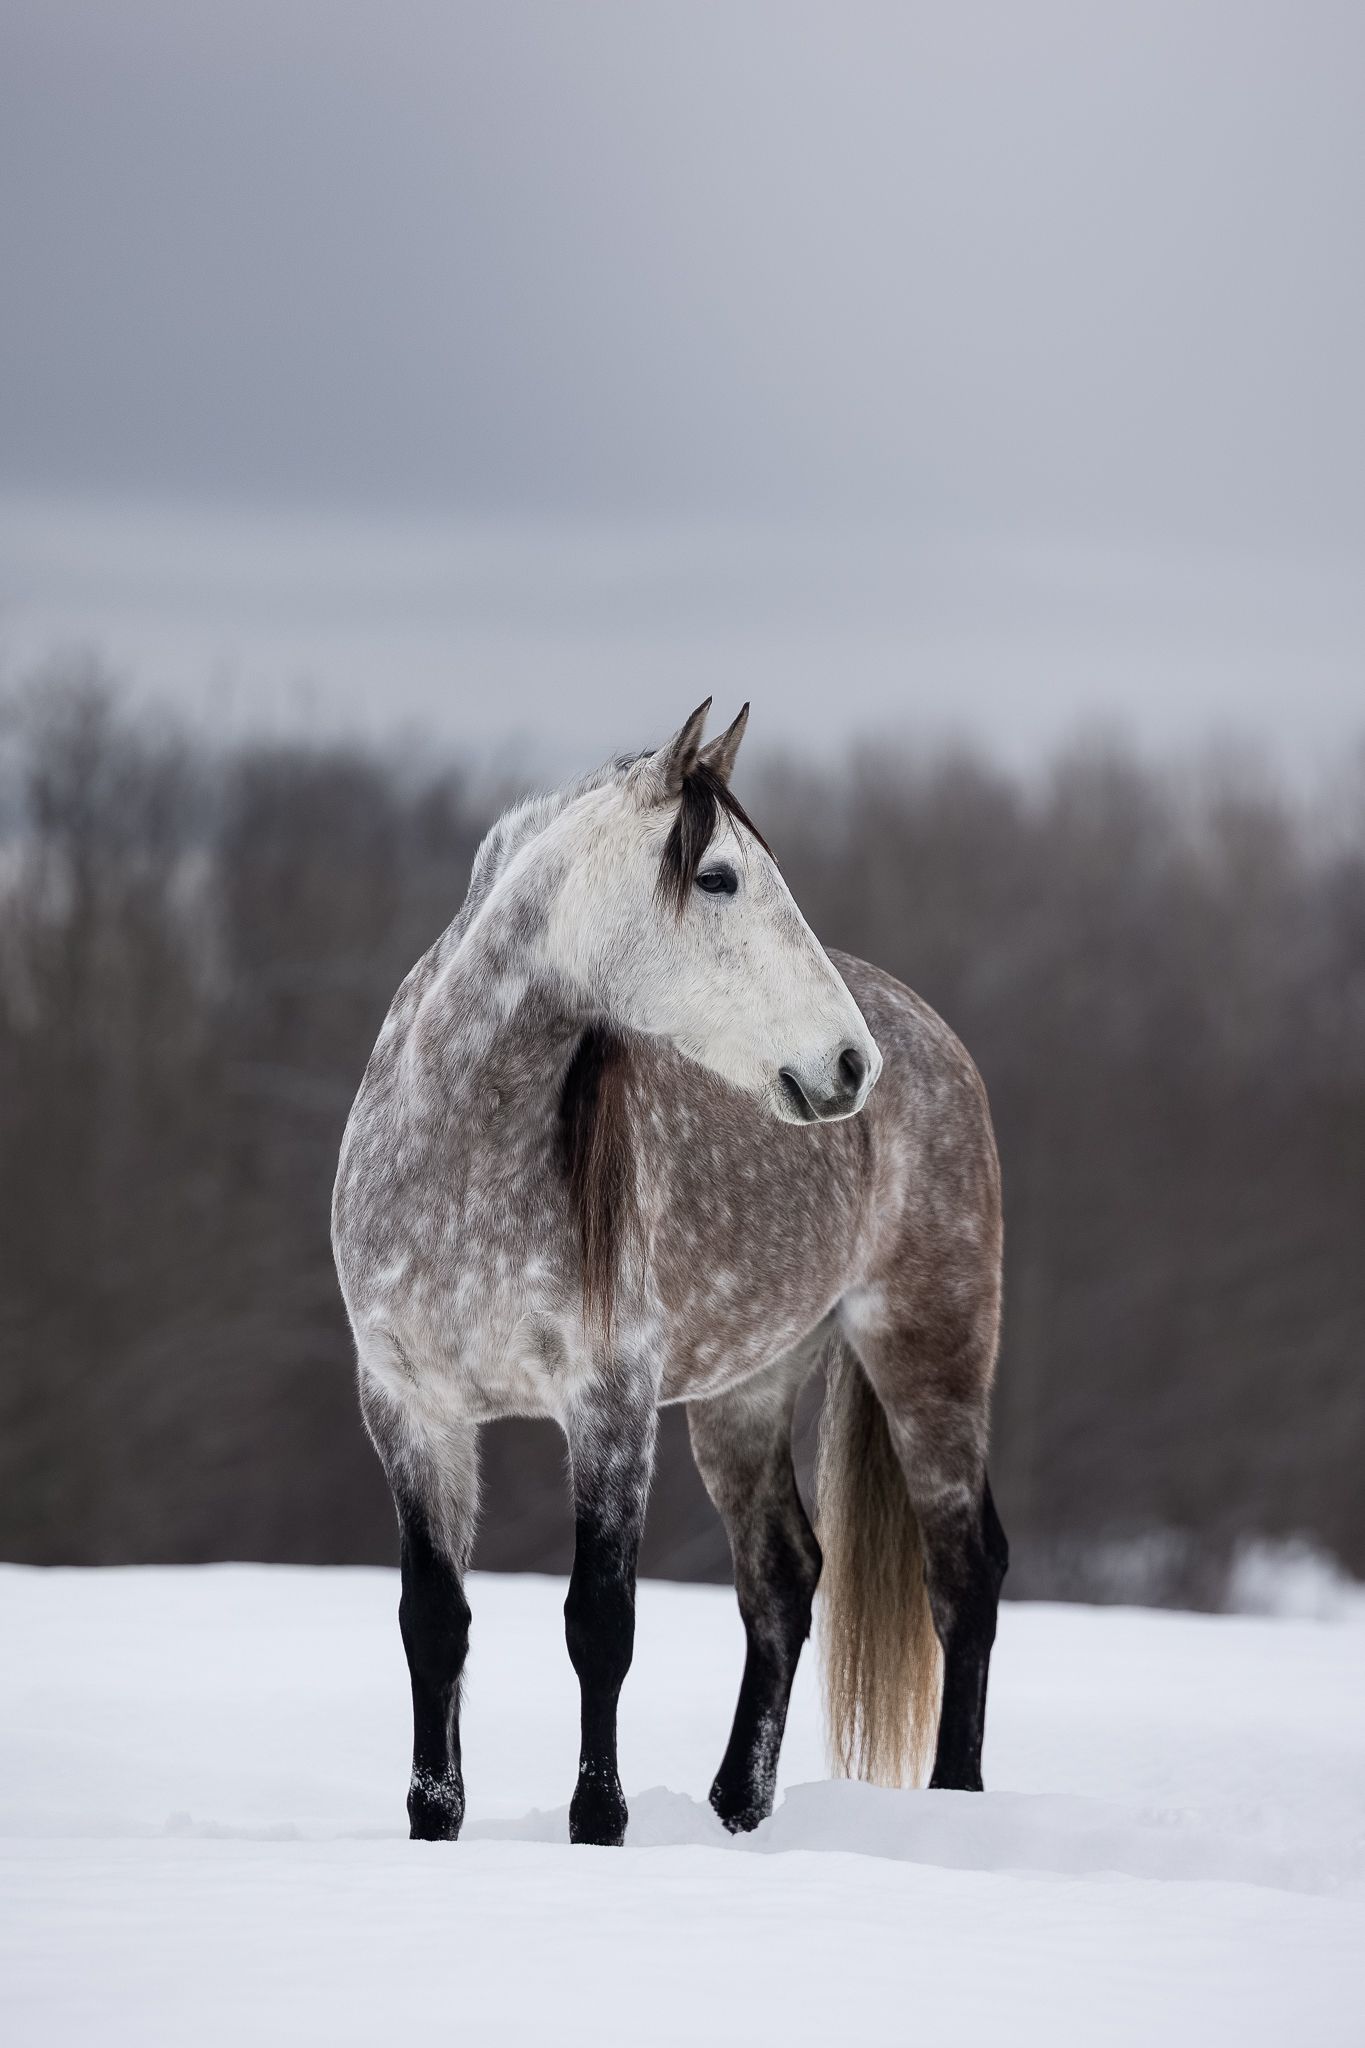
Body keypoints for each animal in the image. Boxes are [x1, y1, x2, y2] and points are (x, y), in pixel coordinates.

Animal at [331, 700, 1007, 1846]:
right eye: (720, 876)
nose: (848, 1065)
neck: (460, 1159)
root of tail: (931, 1034)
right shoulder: (409, 1405)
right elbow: (435, 1620)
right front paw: (434, 1821)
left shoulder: (609, 1402)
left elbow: (599, 1622)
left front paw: (597, 1824)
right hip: (748, 1391)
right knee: (782, 1578)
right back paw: (738, 1809)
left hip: (929, 1354)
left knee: (962, 1571)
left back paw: (953, 1802)